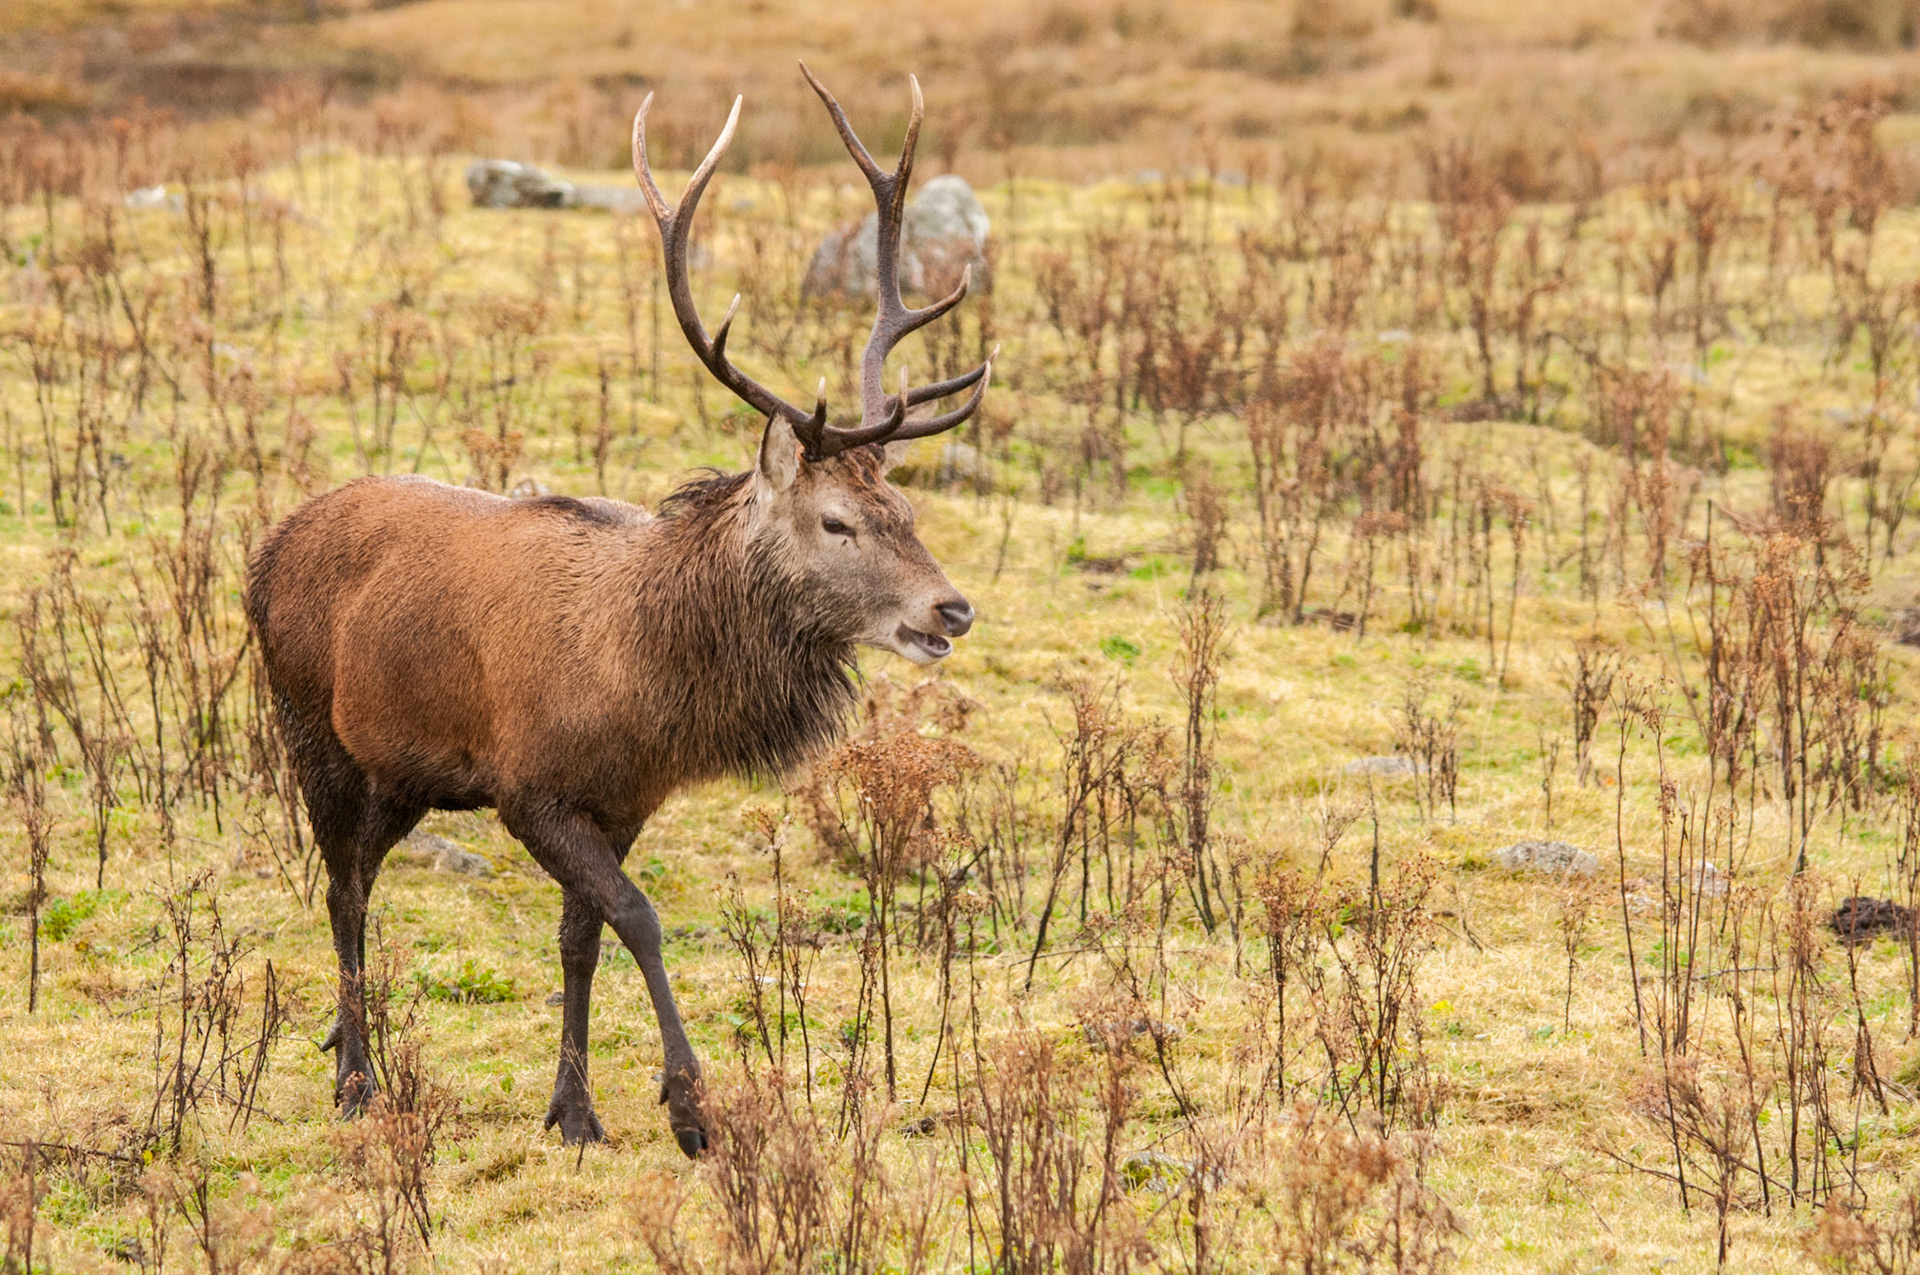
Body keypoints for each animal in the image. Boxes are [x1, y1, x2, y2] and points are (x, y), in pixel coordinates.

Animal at [244, 65, 994, 1157]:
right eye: (838, 521)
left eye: (907, 510)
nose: (952, 608)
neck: (648, 685)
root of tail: (263, 552)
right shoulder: (530, 785)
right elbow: (638, 919)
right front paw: (689, 1106)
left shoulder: (625, 798)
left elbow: (579, 938)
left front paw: (573, 1110)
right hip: (310, 730)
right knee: (343, 886)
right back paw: (355, 1078)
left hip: (403, 772)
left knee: (361, 878)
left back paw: (341, 1045)